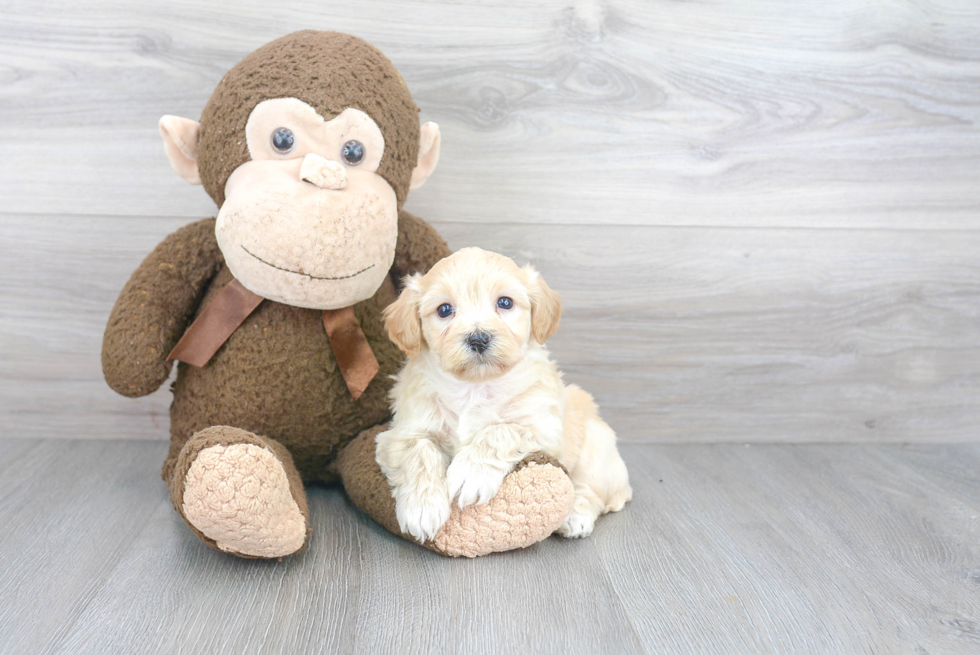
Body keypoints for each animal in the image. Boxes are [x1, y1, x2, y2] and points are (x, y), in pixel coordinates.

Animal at [372, 246, 632, 544]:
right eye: (444, 310)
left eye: (505, 302)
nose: (478, 338)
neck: (475, 387)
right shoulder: (399, 434)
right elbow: (420, 451)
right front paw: (422, 508)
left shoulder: (543, 428)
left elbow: (501, 430)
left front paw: (470, 473)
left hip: (596, 448)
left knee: (592, 491)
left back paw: (575, 517)